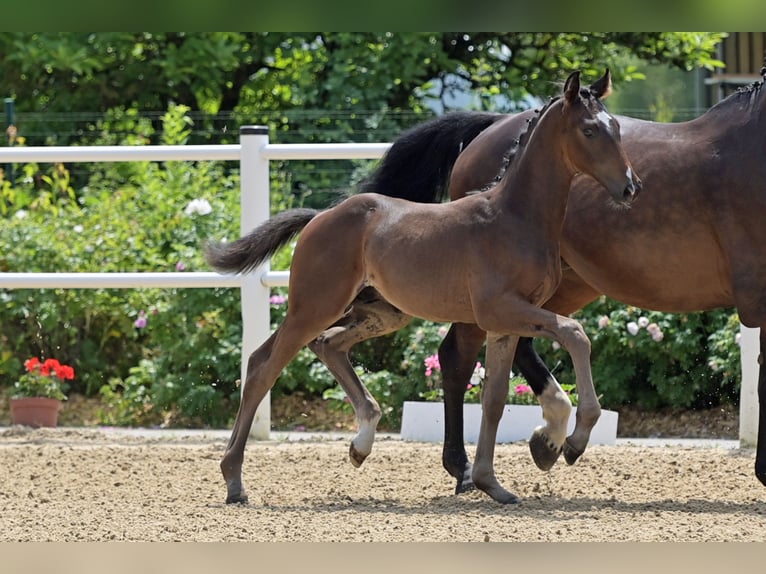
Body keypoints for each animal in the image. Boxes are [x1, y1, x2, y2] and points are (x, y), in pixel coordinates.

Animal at [206, 71, 640, 504]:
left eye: (617, 129)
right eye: (589, 130)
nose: (631, 187)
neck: (514, 217)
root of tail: (320, 217)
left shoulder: (505, 324)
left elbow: (494, 399)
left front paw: (492, 483)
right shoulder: (501, 309)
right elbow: (576, 333)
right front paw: (574, 441)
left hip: (378, 312)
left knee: (322, 345)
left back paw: (360, 443)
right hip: (314, 305)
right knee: (264, 367)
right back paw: (234, 481)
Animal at [346, 64, 766, 496]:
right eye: (590, 131)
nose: (632, 187)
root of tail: (490, 126)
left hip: (561, 285)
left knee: (516, 345)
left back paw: (546, 439)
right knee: (458, 357)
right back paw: (471, 466)